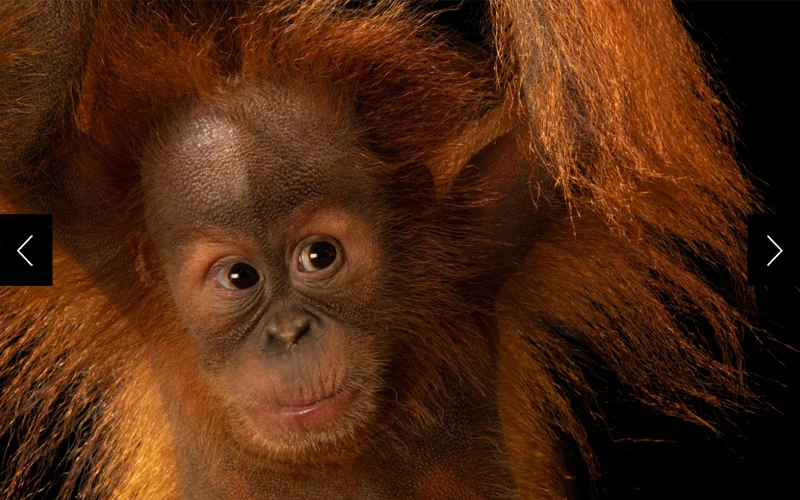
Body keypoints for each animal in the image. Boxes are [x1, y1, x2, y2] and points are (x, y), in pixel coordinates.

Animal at [0, 1, 758, 499]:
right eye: (238, 277)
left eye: (319, 257)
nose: (289, 332)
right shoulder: (91, 226)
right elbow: (20, 134)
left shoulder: (482, 238)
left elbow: (589, 137)